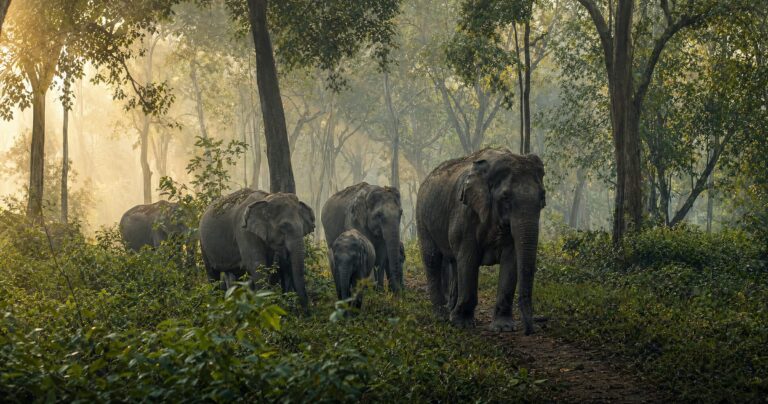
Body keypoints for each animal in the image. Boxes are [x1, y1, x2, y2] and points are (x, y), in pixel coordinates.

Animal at [415, 148, 545, 335]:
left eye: (542, 196)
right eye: (506, 197)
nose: (529, 331)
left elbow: (511, 260)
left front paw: (504, 327)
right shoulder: (465, 213)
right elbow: (468, 259)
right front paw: (462, 324)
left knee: (454, 262)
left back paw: (451, 310)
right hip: (422, 217)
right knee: (432, 258)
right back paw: (441, 315)